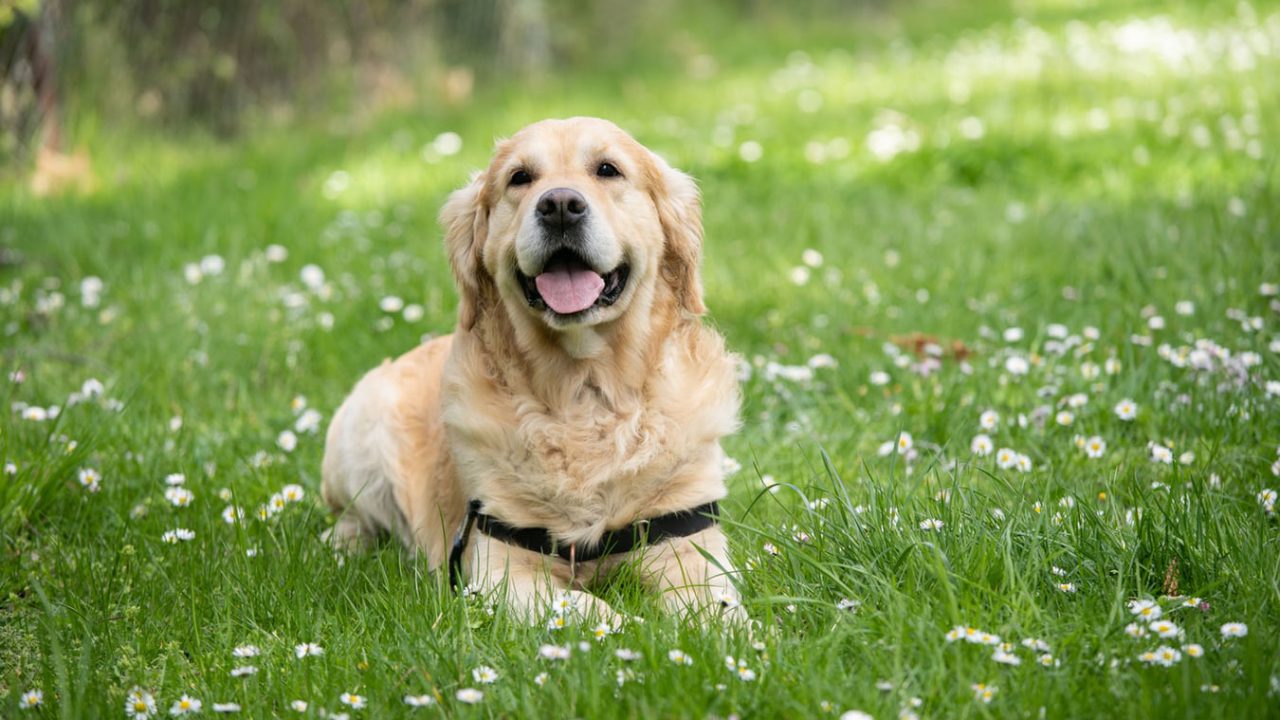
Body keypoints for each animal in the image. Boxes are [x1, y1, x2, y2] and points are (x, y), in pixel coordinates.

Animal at [318, 114, 742, 620]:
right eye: (520, 177)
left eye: (608, 169)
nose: (560, 205)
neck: (585, 392)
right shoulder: (500, 570)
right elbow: (592, 609)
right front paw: (633, 626)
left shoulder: (688, 543)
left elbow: (718, 608)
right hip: (360, 434)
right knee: (351, 517)